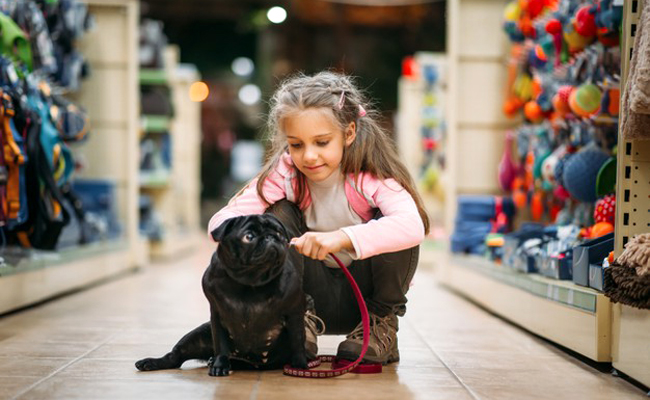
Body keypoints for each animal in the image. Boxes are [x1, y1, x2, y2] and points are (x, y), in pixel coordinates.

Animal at [134, 214, 308, 376]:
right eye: (248, 237)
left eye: (279, 233)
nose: (271, 237)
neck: (251, 281)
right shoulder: (217, 317)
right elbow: (221, 344)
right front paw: (220, 365)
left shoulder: (294, 314)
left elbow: (297, 341)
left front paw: (300, 364)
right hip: (197, 337)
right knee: (175, 357)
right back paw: (152, 362)